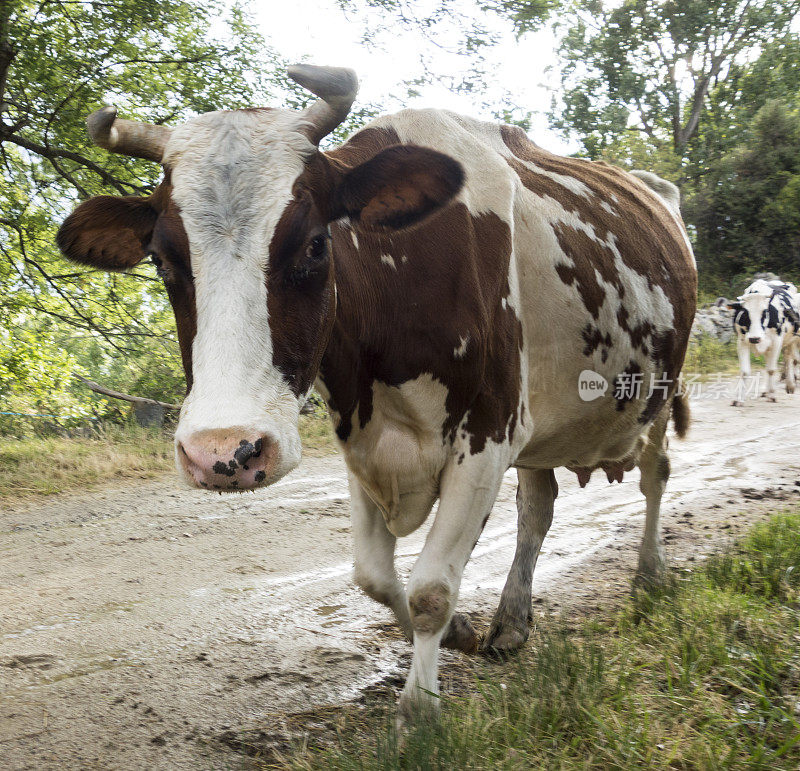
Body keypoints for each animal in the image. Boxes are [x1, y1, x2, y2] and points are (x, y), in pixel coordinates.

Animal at [56, 65, 696, 724]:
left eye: (316, 244)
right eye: (162, 260)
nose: (224, 452)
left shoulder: (488, 433)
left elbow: (432, 588)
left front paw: (420, 708)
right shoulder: (362, 437)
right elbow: (374, 577)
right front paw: (458, 633)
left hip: (662, 390)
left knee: (655, 475)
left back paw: (650, 572)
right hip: (541, 426)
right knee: (537, 510)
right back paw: (512, 621)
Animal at [728, 280, 796, 408]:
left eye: (765, 312)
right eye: (745, 313)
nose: (755, 338)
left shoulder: (776, 341)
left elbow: (771, 370)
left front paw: (772, 396)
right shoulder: (742, 341)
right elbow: (745, 371)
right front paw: (739, 399)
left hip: (790, 340)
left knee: (789, 359)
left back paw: (790, 385)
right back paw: (765, 390)